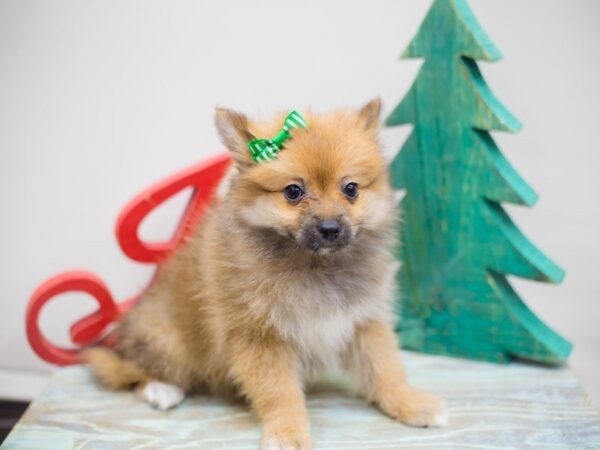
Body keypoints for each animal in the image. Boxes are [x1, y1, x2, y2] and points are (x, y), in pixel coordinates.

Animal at [86, 100, 448, 448]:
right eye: (293, 192)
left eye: (351, 189)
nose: (330, 227)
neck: (314, 266)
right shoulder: (260, 336)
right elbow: (279, 392)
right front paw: (287, 432)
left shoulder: (362, 321)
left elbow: (385, 369)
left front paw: (410, 403)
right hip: (168, 340)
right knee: (137, 371)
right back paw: (161, 389)